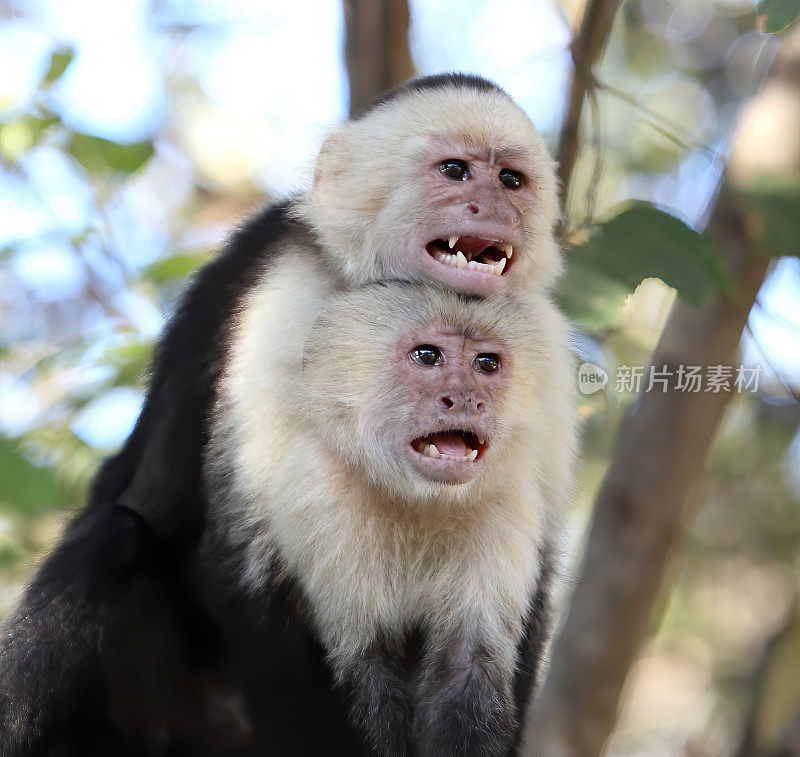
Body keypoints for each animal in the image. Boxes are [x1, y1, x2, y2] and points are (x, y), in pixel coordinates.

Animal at [0, 74, 564, 752]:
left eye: (511, 179)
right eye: (455, 171)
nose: (497, 209)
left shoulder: (544, 355)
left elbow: (488, 645)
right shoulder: (285, 303)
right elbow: (245, 560)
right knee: (113, 538)